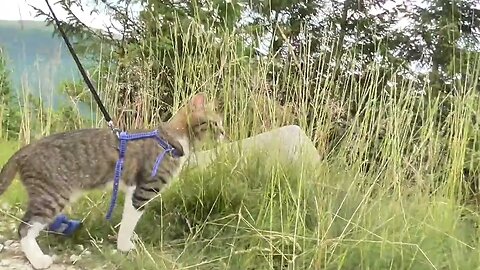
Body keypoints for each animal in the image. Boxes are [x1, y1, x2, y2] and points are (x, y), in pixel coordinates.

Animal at [0, 92, 226, 268]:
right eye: (215, 123)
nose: (224, 133)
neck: (171, 140)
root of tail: (26, 149)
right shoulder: (144, 190)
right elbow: (129, 221)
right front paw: (124, 246)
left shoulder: (132, 188)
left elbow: (128, 218)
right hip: (52, 195)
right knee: (24, 228)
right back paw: (39, 260)